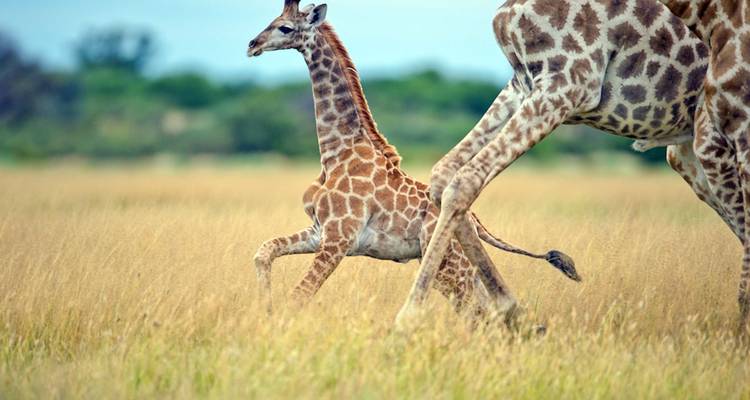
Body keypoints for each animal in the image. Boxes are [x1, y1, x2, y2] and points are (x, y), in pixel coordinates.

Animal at [246, 0, 580, 317]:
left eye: (286, 28)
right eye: (273, 21)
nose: (252, 45)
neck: (337, 152)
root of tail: (475, 221)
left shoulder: (339, 238)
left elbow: (299, 294)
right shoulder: (320, 232)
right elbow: (264, 251)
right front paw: (265, 308)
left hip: (449, 265)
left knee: (476, 310)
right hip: (454, 265)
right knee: (482, 307)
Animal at [395, 0, 716, 328]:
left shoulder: (569, 84)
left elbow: (464, 181)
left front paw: (409, 317)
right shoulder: (524, 83)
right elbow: (444, 174)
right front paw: (512, 311)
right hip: (688, 152)